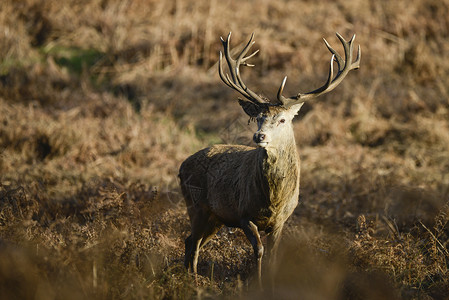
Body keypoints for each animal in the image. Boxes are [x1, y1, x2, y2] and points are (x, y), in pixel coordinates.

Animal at [177, 31, 358, 284]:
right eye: (259, 118)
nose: (259, 135)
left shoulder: (282, 220)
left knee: (191, 241)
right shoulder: (244, 214)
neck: (273, 200)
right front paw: (258, 283)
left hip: (215, 217)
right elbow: (259, 250)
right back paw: (192, 281)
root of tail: (182, 165)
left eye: (282, 119)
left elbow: (273, 254)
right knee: (193, 242)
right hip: (196, 205)